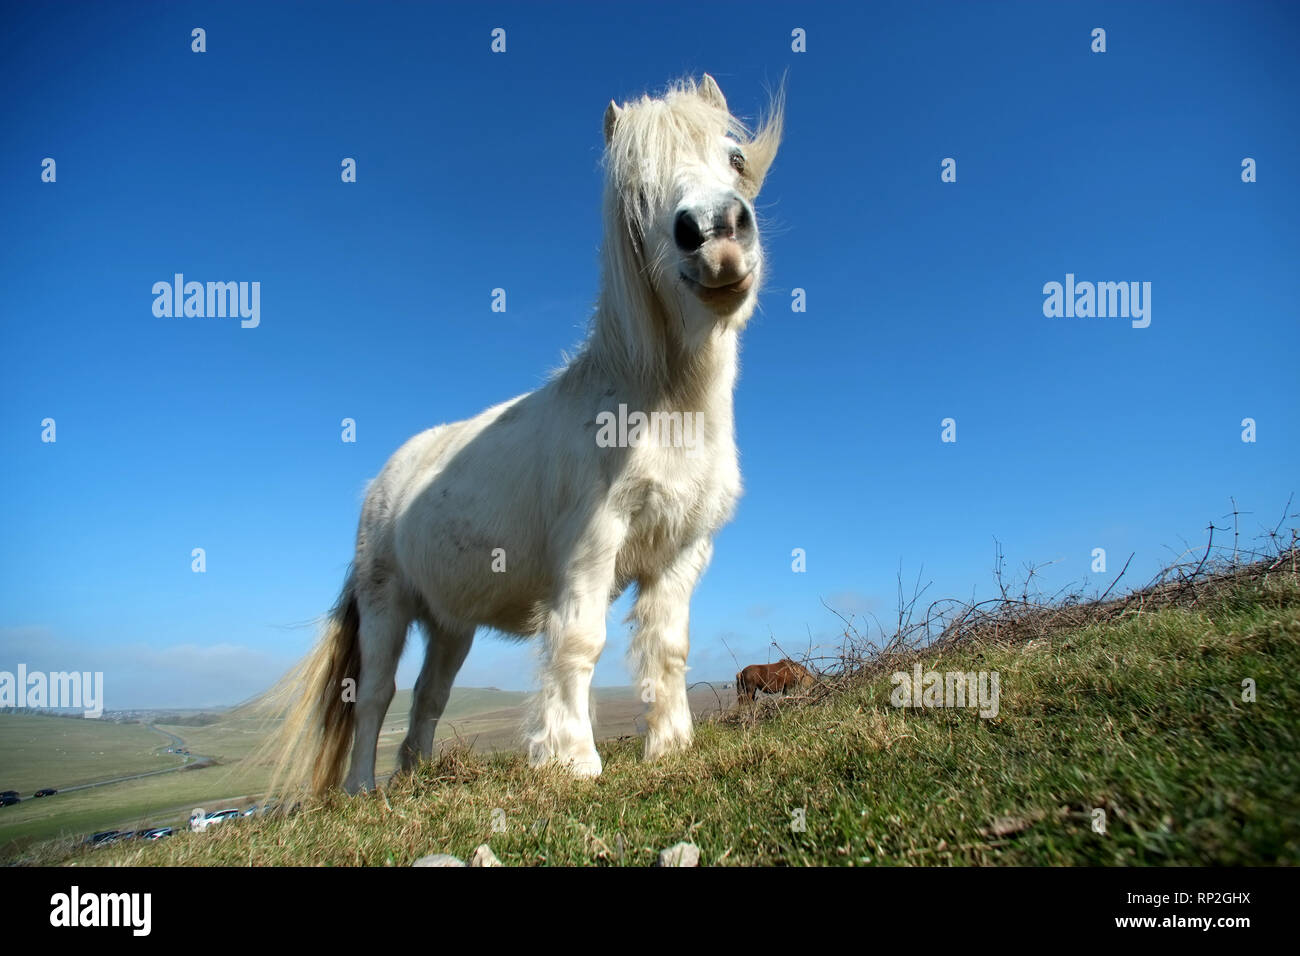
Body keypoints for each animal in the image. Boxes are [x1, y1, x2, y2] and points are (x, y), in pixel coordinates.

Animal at [258, 74, 774, 796]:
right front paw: (573, 760)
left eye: (734, 159)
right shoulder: (590, 545)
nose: (715, 235)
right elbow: (578, 641)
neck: (659, 405)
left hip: (450, 625)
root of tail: (385, 478)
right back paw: (362, 788)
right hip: (388, 606)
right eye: (638, 192)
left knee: (428, 697)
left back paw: (418, 777)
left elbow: (666, 649)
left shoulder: (679, 554)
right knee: (378, 695)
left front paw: (670, 747)